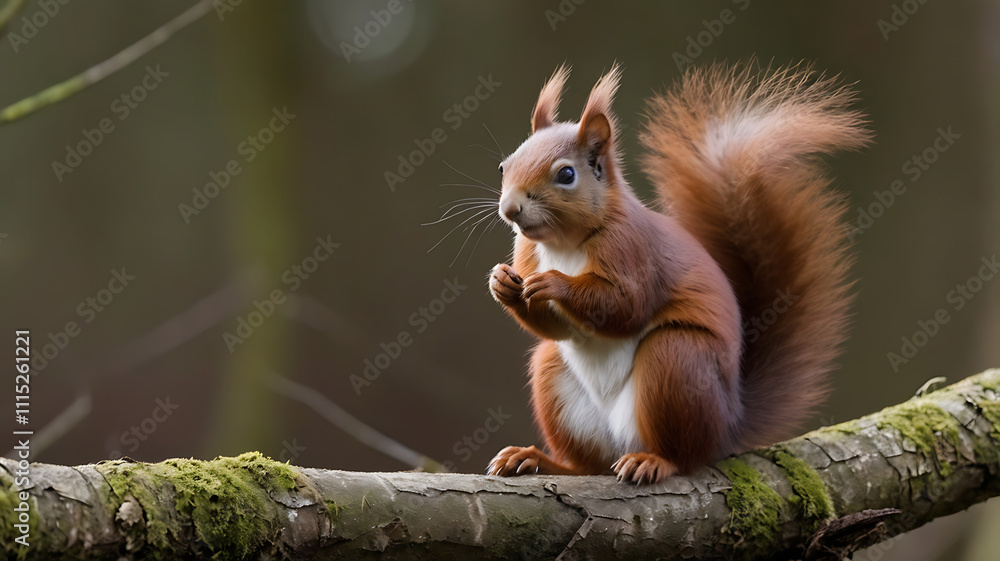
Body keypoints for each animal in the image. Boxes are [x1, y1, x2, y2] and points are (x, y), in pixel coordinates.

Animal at [485, 62, 870, 484]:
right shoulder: (528, 253)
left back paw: (653, 461)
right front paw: (501, 284)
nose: (510, 209)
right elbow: (556, 328)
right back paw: (535, 459)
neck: (564, 244)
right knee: (587, 466)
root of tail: (729, 424)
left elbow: (626, 306)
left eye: (566, 174)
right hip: (555, 376)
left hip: (678, 361)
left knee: (683, 455)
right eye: (504, 166)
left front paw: (554, 283)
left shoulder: (631, 249)